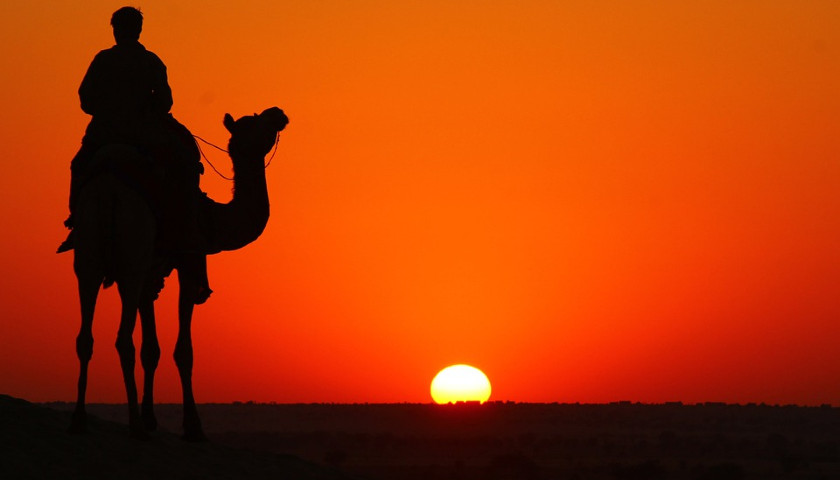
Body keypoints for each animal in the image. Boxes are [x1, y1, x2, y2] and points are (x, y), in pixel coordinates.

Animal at [67, 108, 288, 438]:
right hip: (132, 255)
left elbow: (151, 349)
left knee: (86, 336)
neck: (211, 218)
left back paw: (80, 420)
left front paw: (151, 418)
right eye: (256, 122)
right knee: (123, 339)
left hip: (88, 256)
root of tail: (108, 190)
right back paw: (133, 426)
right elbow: (183, 350)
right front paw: (192, 426)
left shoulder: (151, 274)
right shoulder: (187, 261)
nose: (278, 113)